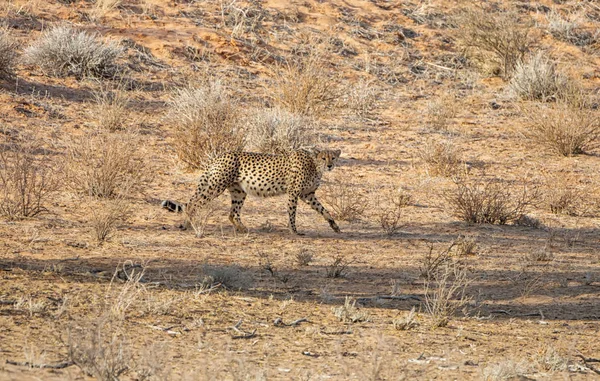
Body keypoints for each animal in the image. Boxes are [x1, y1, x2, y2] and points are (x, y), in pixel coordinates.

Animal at [162, 148, 342, 235]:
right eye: (323, 158)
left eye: (333, 157)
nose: (330, 165)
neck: (315, 165)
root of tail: (220, 155)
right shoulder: (294, 193)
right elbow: (292, 213)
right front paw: (294, 231)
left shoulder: (308, 195)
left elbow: (324, 210)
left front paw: (334, 226)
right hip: (216, 186)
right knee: (194, 203)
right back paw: (189, 224)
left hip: (238, 191)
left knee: (232, 213)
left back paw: (243, 229)